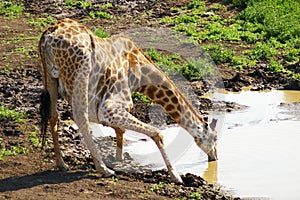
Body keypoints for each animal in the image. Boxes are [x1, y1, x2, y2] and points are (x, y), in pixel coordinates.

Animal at [38, 18, 218, 183]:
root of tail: (47, 36)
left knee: (53, 115)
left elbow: (120, 130)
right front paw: (175, 175)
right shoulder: (109, 106)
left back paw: (62, 164)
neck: (139, 73)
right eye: (215, 138)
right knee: (80, 116)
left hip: (50, 77)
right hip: (79, 75)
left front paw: (119, 160)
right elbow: (157, 133)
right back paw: (104, 169)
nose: (214, 156)